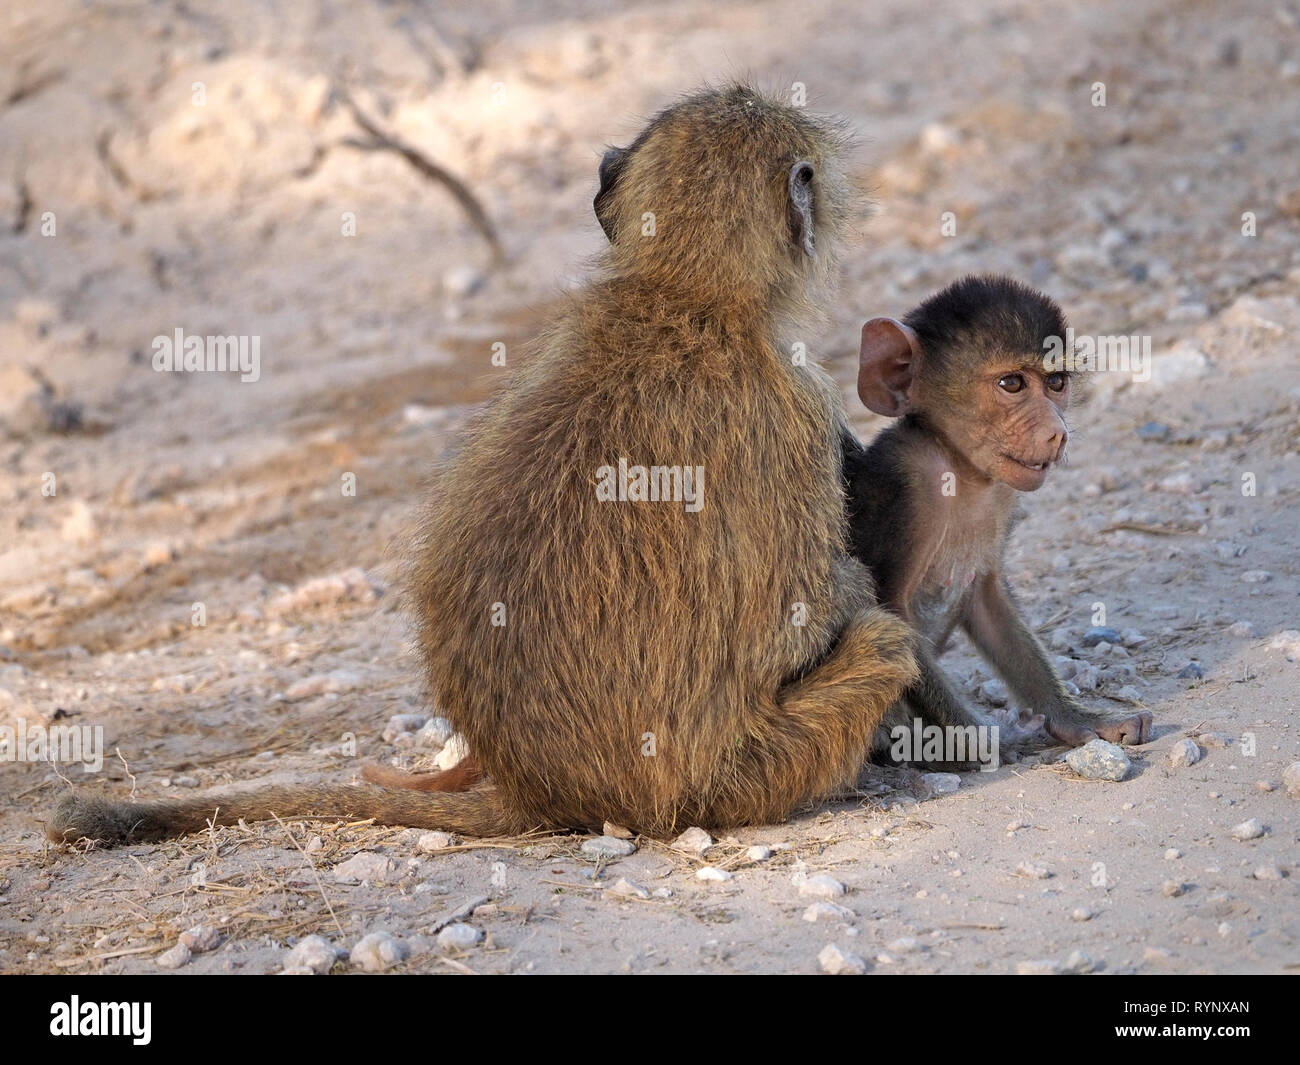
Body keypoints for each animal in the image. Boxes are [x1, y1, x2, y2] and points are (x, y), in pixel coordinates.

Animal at [49, 84, 918, 847]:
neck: (684, 298)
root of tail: (545, 794)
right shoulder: (799, 408)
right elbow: (804, 615)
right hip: (731, 778)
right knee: (880, 643)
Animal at [841, 274, 1152, 759]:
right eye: (1011, 383)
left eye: (1056, 382)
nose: (1056, 432)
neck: (961, 470)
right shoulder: (908, 490)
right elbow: (890, 616)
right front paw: (983, 739)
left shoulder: (1003, 496)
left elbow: (990, 603)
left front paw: (1078, 718)